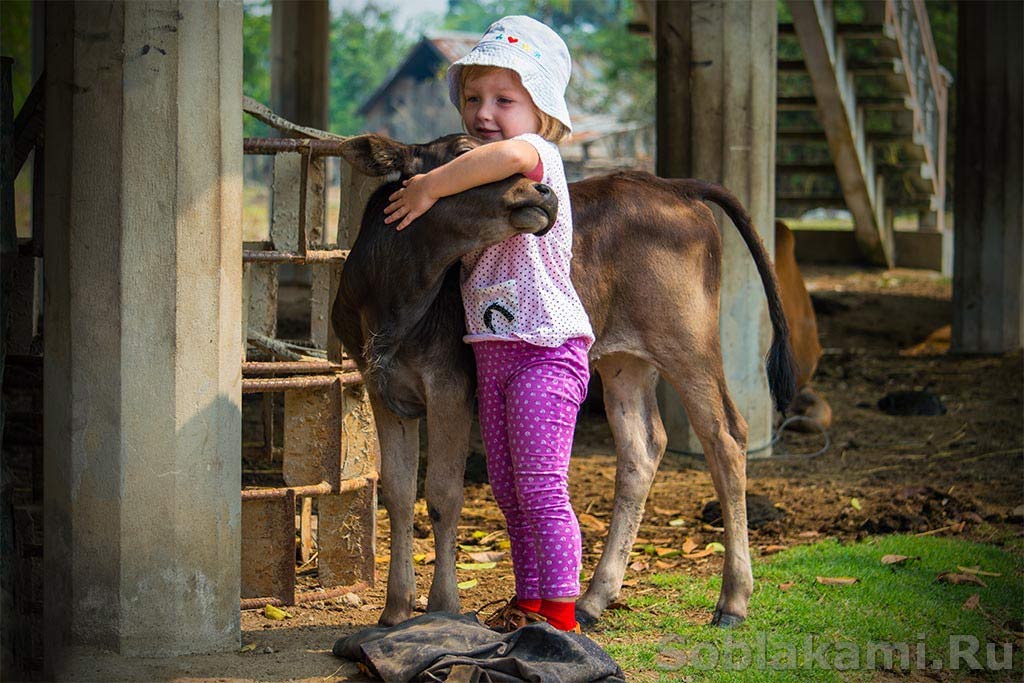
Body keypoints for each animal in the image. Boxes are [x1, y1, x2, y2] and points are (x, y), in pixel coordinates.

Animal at [331, 133, 794, 630]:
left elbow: (441, 494)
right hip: (624, 358)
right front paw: (396, 609)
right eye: (464, 152)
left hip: (687, 339)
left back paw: (732, 599)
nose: (545, 192)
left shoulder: (448, 387)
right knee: (642, 448)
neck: (393, 297)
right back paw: (593, 598)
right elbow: (398, 493)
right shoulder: (381, 386)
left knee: (725, 435)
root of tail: (671, 185)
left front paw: (442, 609)